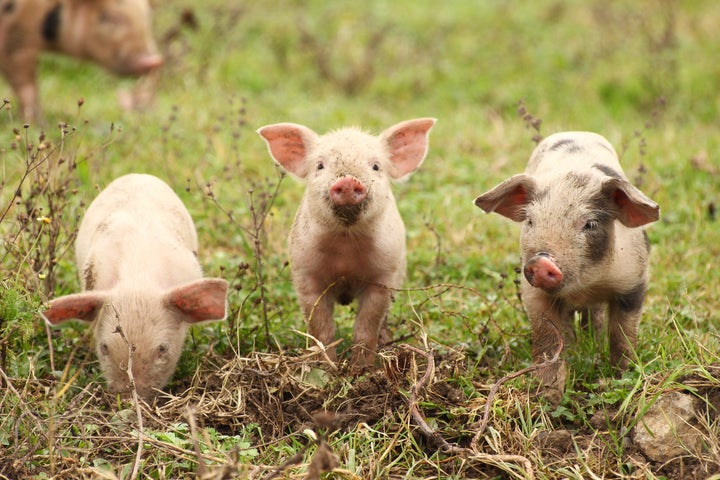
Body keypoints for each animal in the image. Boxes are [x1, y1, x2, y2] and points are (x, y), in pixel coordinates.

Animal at [0, 0, 163, 122]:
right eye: (106, 16)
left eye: (147, 16)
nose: (153, 61)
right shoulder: (16, 38)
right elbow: (27, 87)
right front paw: (36, 123)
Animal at [262, 118, 436, 370]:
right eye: (320, 166)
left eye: (375, 166)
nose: (346, 181)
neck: (346, 247)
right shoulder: (306, 274)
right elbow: (321, 328)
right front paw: (326, 368)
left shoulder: (383, 277)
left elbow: (366, 327)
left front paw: (361, 370)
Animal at [476, 131, 660, 404]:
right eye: (530, 221)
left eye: (590, 224)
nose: (542, 261)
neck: (585, 285)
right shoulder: (534, 293)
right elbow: (548, 340)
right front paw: (547, 395)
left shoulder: (634, 281)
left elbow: (623, 335)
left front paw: (621, 377)